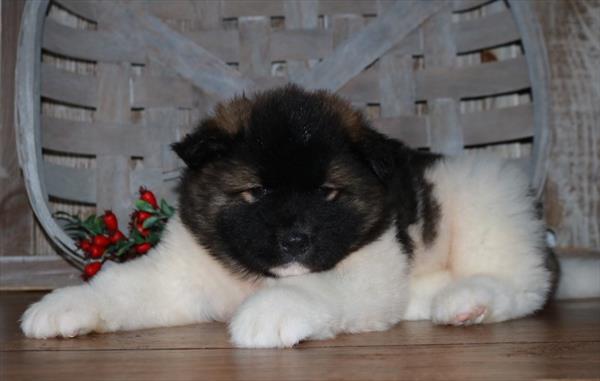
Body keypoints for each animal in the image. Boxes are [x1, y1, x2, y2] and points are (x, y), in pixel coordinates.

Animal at [21, 84, 560, 346]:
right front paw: (65, 306)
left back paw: (469, 301)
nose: (296, 241)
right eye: (257, 191)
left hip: (487, 196)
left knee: (526, 283)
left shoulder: (369, 268)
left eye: (326, 192)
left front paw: (270, 313)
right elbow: (119, 286)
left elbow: (315, 284)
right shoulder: (178, 275)